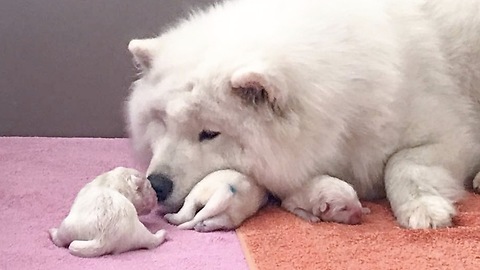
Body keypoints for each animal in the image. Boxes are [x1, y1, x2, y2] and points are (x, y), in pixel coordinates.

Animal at [124, 0, 480, 229]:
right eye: (162, 122)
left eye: (210, 133)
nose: (157, 184)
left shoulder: (453, 134)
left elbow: (402, 163)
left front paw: (423, 209)